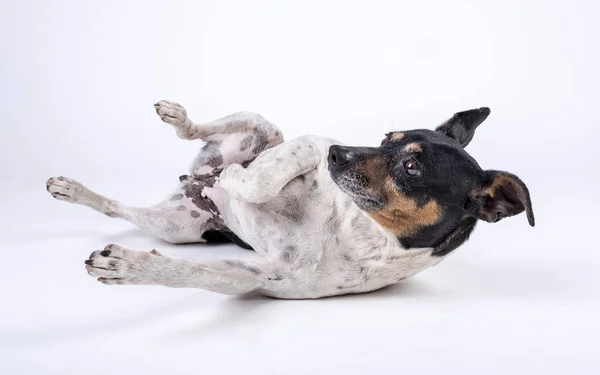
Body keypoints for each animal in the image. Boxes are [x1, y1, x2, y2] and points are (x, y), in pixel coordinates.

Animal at [47, 101, 536, 302]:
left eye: (411, 167)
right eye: (385, 139)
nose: (338, 151)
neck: (357, 234)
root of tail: (190, 180)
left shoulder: (252, 278)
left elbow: (193, 273)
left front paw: (129, 267)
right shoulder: (305, 147)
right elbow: (263, 181)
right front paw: (236, 178)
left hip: (173, 228)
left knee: (118, 208)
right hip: (261, 124)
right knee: (194, 131)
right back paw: (184, 126)